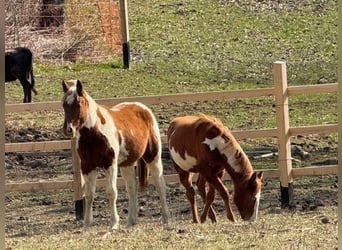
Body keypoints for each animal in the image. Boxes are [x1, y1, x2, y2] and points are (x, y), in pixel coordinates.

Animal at [61, 79, 170, 229]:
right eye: (64, 105)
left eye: (78, 104)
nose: (68, 129)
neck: (94, 134)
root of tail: (143, 108)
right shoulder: (87, 166)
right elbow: (89, 194)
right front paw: (87, 224)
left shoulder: (110, 164)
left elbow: (111, 192)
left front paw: (114, 223)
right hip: (127, 164)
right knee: (132, 189)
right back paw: (130, 222)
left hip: (153, 157)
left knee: (160, 185)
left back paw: (166, 219)